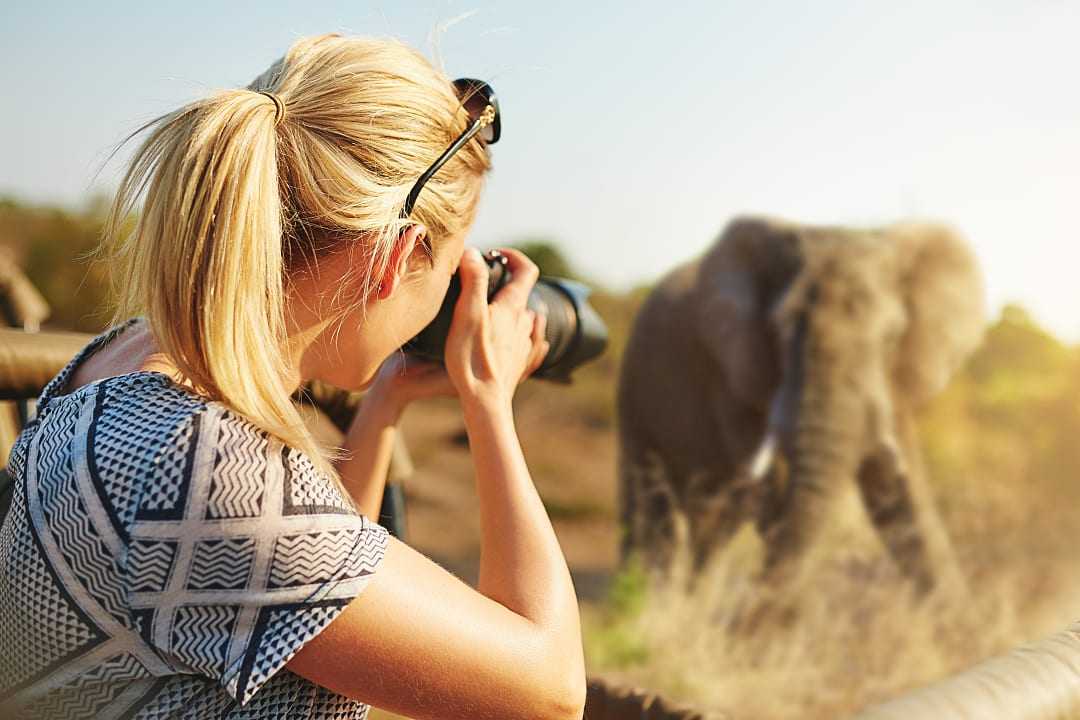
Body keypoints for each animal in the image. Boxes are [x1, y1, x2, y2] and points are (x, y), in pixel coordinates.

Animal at [617, 216, 989, 587]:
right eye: (779, 329)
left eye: (891, 337)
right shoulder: (734, 379)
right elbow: (773, 496)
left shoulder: (892, 381)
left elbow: (898, 494)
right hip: (635, 397)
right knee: (653, 521)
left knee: (711, 533)